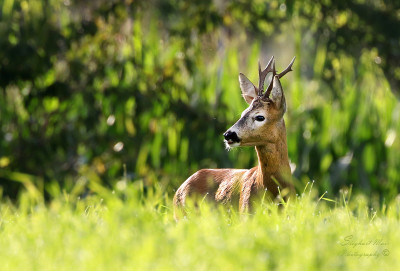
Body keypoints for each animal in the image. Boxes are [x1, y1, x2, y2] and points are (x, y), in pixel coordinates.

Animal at [173, 55, 296, 219]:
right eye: (243, 113)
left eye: (260, 117)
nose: (228, 134)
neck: (273, 191)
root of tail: (179, 189)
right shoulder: (246, 213)